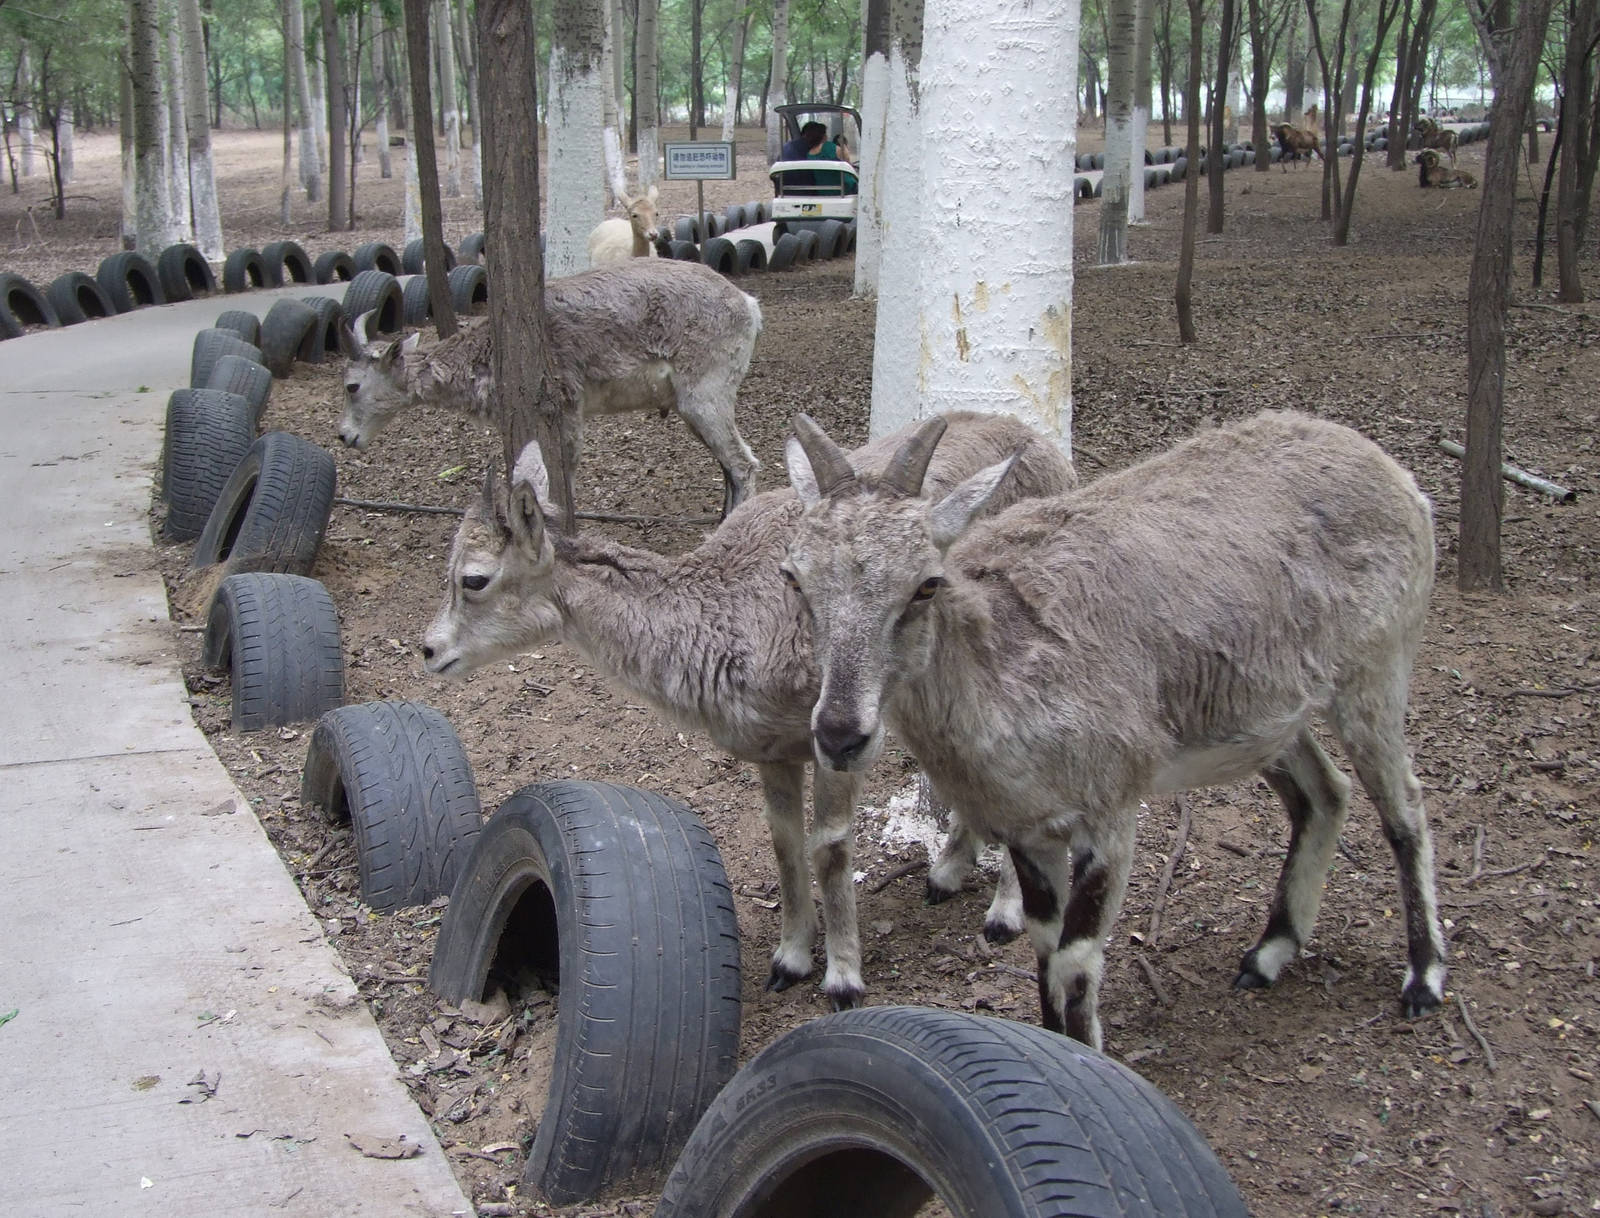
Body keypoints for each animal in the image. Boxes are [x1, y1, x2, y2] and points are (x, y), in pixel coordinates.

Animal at [336, 258, 762, 517]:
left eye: (352, 386)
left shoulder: (566, 406)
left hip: (706, 394)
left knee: (744, 463)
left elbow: (563, 478)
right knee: (729, 465)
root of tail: (750, 306)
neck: (485, 358)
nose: (345, 436)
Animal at [421, 411, 1079, 1011]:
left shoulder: (840, 742)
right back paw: (945, 874)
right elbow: (785, 843)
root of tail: (1051, 450)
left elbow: (830, 847)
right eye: (452, 570)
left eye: (474, 579)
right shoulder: (774, 747)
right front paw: (789, 960)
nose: (430, 649)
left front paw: (843, 978)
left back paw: (1004, 912)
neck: (732, 620)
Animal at [780, 410, 1446, 1049]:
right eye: (795, 578)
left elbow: (1075, 960)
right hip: (1272, 718)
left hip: (1374, 673)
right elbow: (1045, 945)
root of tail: (1393, 473)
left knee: (1406, 805)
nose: (840, 735)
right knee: (1324, 792)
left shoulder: (1112, 812)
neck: (1004, 672)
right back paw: (1270, 953)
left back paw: (1424, 976)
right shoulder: (1029, 829)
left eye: (926, 583)